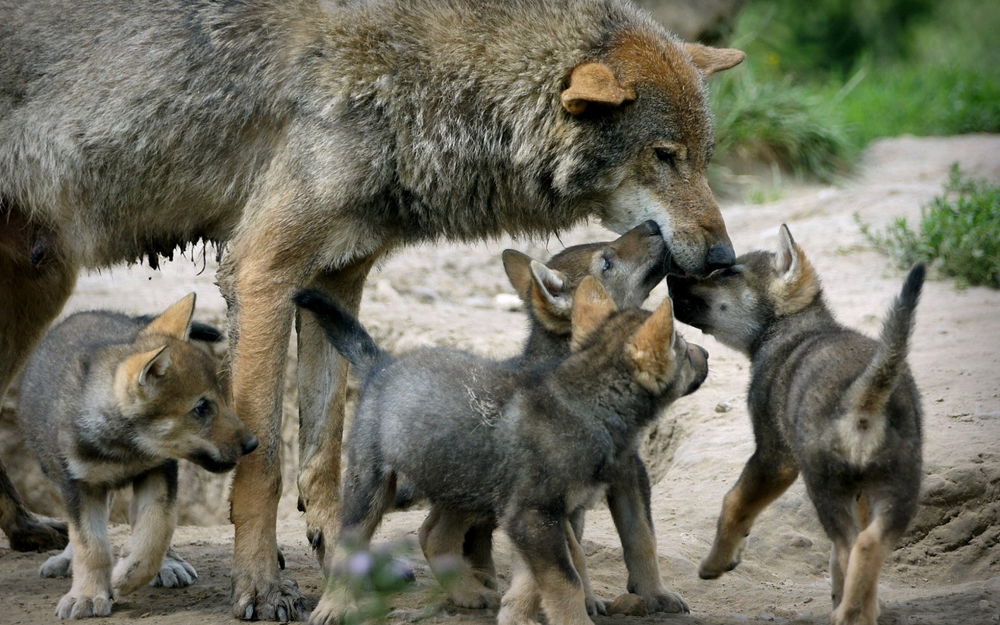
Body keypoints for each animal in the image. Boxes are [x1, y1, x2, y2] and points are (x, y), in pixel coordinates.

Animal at [16, 294, 258, 616]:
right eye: (202, 408)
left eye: (222, 398)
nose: (253, 443)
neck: (126, 447)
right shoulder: (79, 485)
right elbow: (90, 544)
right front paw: (87, 595)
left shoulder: (158, 471)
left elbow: (156, 529)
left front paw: (129, 575)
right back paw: (67, 559)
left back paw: (167, 564)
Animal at [292, 278, 708, 624]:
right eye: (683, 349)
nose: (706, 353)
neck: (588, 406)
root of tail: (383, 364)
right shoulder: (535, 515)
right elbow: (567, 580)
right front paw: (574, 619)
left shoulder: (544, 515)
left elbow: (539, 578)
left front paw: (516, 617)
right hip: (372, 484)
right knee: (349, 548)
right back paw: (333, 608)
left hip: (465, 484)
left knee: (435, 535)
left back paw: (468, 592)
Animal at [668, 225, 924, 624]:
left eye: (727, 273)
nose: (668, 277)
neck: (789, 330)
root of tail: (867, 394)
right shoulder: (861, 493)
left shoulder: (775, 458)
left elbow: (734, 502)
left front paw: (717, 562)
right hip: (897, 490)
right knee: (867, 545)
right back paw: (858, 611)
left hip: (824, 488)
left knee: (853, 546)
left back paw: (846, 615)